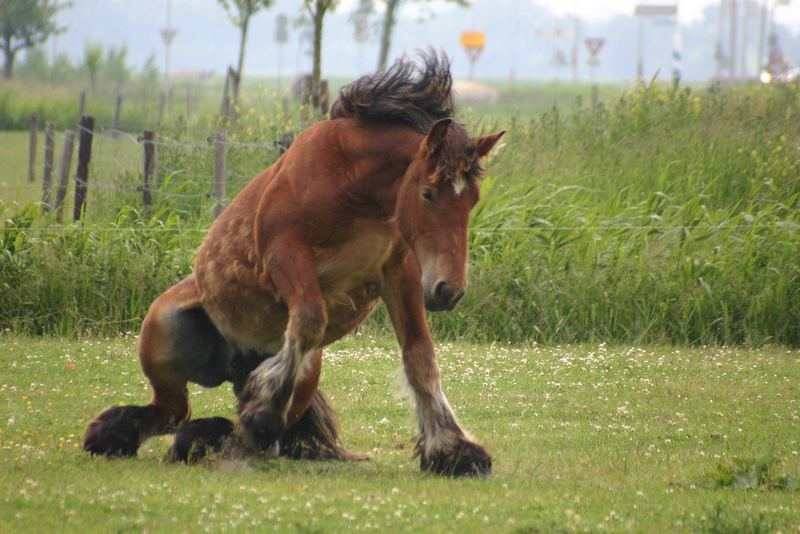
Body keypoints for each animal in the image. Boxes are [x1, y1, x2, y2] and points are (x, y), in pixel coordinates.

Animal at [83, 53, 506, 478]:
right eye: (427, 193)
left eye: (472, 199)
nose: (449, 290)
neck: (354, 186)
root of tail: (236, 363)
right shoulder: (285, 255)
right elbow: (309, 320)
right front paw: (262, 417)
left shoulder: (399, 271)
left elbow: (419, 356)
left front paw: (453, 450)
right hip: (163, 332)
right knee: (173, 411)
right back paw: (117, 436)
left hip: (307, 370)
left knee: (207, 418)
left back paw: (205, 437)